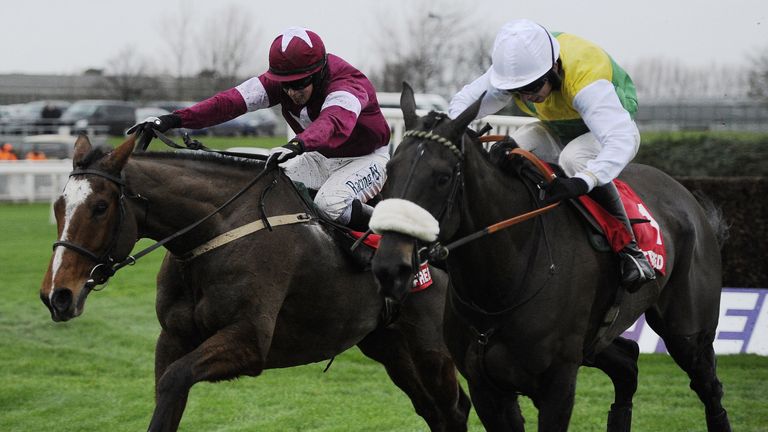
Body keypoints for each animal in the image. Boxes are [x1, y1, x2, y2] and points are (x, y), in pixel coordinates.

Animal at [42, 134, 472, 432]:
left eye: (100, 207)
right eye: (58, 206)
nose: (56, 295)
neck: (218, 229)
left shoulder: (249, 342)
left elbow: (176, 378)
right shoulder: (172, 338)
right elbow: (167, 393)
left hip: (430, 348)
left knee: (454, 410)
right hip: (391, 346)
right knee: (434, 410)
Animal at [372, 85, 732, 432]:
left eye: (443, 177)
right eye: (389, 169)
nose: (389, 264)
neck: (499, 287)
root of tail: (686, 196)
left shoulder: (557, 385)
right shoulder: (487, 388)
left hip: (687, 333)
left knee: (709, 387)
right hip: (594, 344)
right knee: (628, 364)